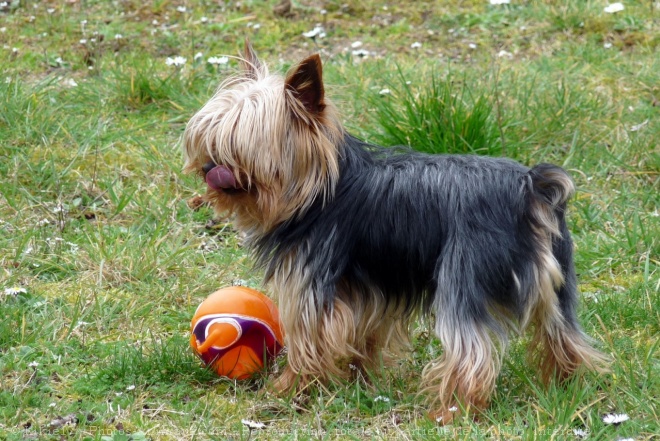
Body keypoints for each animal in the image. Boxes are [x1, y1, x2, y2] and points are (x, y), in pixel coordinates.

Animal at [182, 43, 608, 422]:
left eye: (242, 141)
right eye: (210, 135)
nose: (209, 168)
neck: (320, 189)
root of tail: (531, 187)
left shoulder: (312, 285)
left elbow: (309, 341)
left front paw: (288, 389)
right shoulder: (370, 289)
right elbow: (362, 336)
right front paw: (356, 381)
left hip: (463, 278)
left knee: (472, 353)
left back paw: (451, 413)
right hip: (557, 283)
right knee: (563, 335)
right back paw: (566, 387)